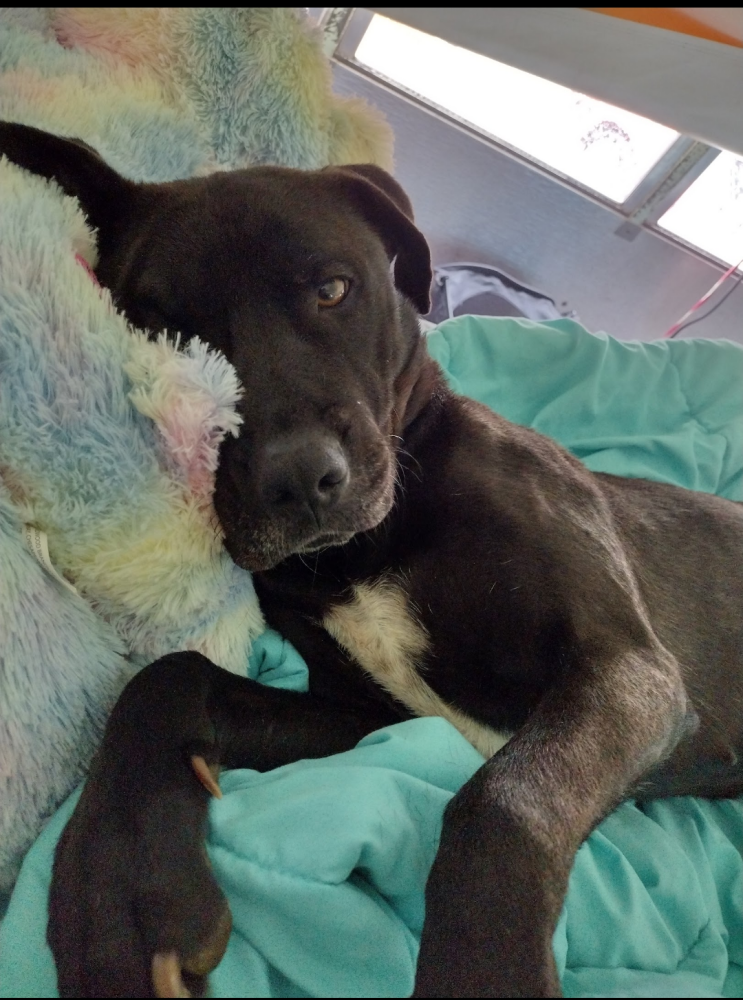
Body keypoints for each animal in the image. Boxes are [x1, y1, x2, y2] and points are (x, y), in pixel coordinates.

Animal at [2, 121, 742, 999]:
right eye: (165, 330)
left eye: (332, 289)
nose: (299, 481)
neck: (369, 547)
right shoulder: (371, 720)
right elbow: (168, 676)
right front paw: (118, 888)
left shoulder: (628, 669)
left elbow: (502, 802)